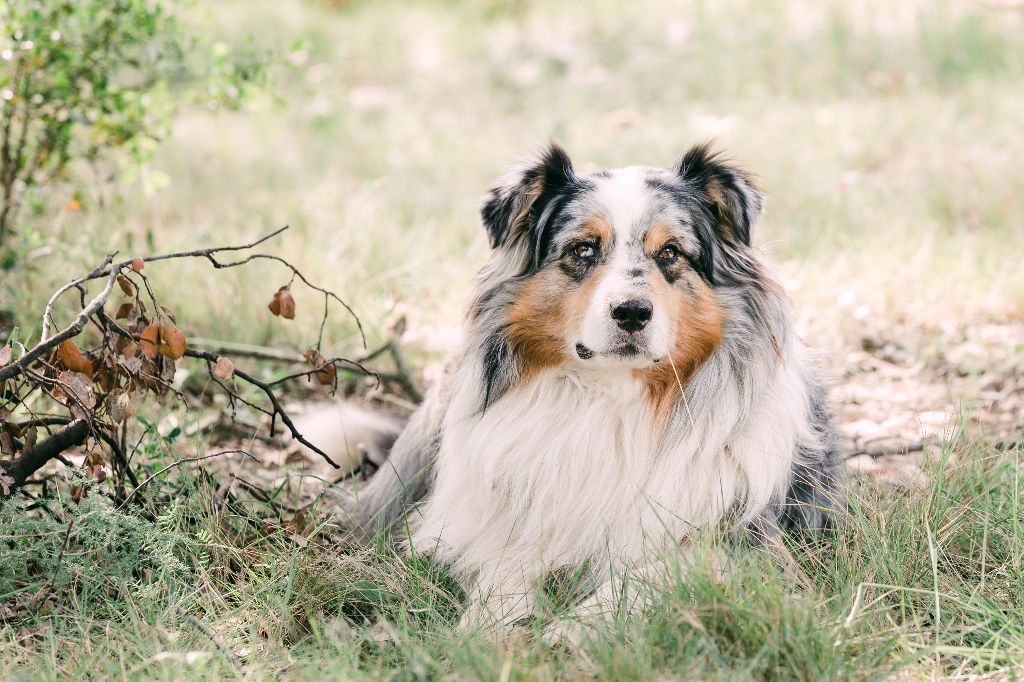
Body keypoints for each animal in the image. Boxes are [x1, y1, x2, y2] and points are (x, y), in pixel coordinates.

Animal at [317, 142, 839, 630]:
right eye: (583, 249)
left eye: (670, 253)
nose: (632, 312)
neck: (612, 398)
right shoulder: (493, 522)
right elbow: (501, 574)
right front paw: (484, 632)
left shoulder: (747, 548)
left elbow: (639, 584)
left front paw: (568, 633)